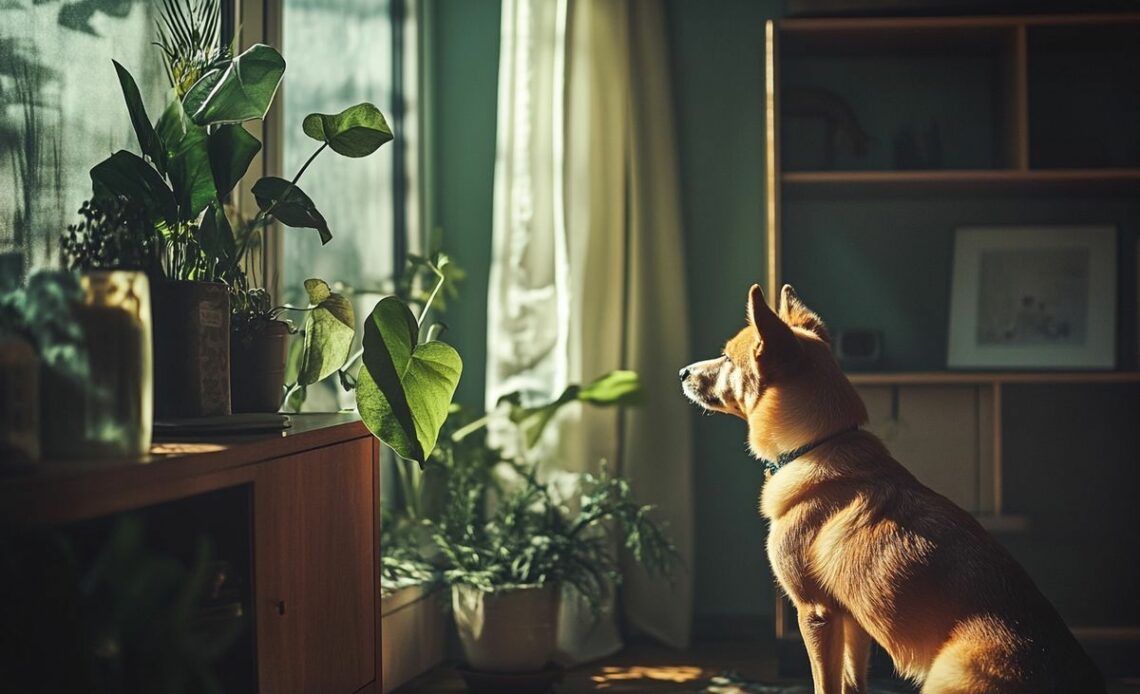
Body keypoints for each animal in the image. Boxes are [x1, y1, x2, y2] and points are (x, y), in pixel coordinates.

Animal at [674, 282, 1103, 692]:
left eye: (728, 359)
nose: (682, 372)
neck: (819, 443)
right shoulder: (852, 619)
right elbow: (852, 682)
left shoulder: (816, 613)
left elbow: (824, 684)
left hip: (944, 674)